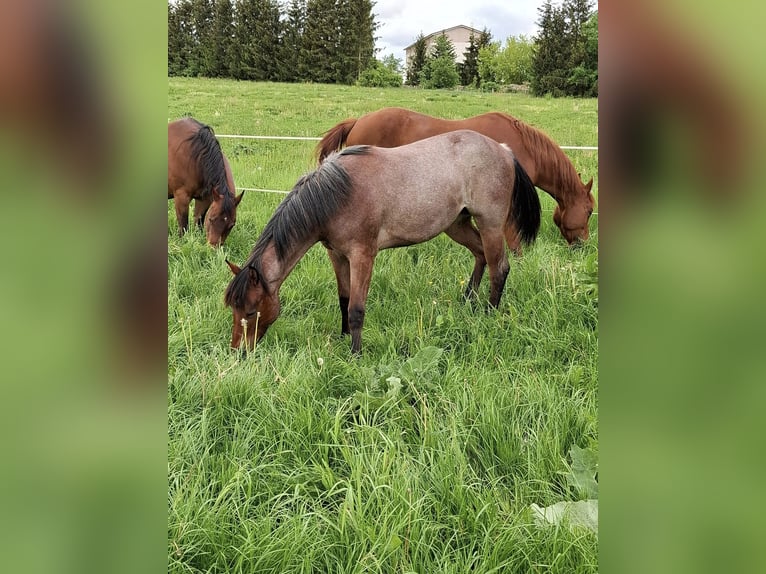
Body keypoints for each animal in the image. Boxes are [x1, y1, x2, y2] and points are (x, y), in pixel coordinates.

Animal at [168, 119, 243, 248]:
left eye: (231, 225)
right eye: (211, 219)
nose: (213, 248)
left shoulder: (204, 199)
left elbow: (198, 221)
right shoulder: (181, 197)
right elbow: (183, 225)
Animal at [225, 130, 544, 356]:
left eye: (251, 312)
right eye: (234, 310)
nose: (239, 352)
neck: (337, 195)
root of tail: (503, 149)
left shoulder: (363, 256)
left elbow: (356, 309)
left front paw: (355, 354)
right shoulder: (337, 255)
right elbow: (343, 299)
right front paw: (342, 337)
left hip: (490, 225)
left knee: (498, 267)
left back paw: (489, 313)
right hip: (458, 224)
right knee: (480, 255)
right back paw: (468, 301)